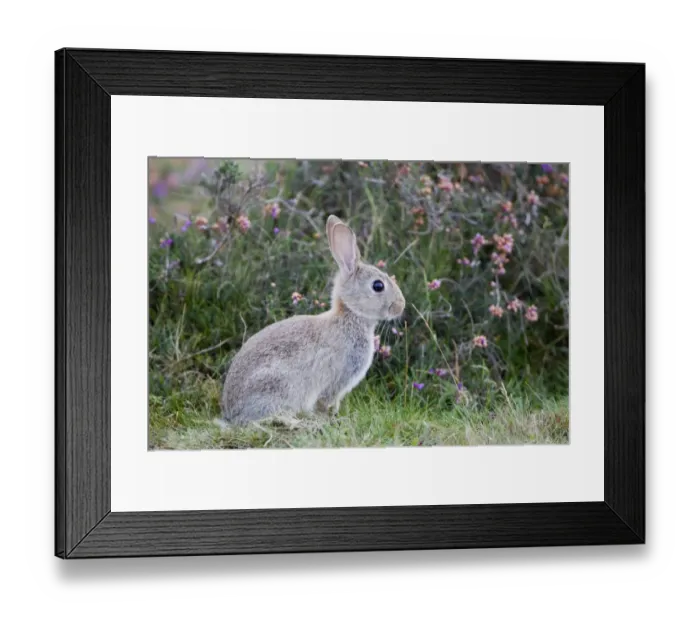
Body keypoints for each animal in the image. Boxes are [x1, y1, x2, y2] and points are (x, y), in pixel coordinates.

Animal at [220, 214, 406, 425]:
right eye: (378, 286)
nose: (401, 305)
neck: (349, 315)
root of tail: (231, 414)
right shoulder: (336, 379)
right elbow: (325, 402)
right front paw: (332, 419)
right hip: (276, 385)